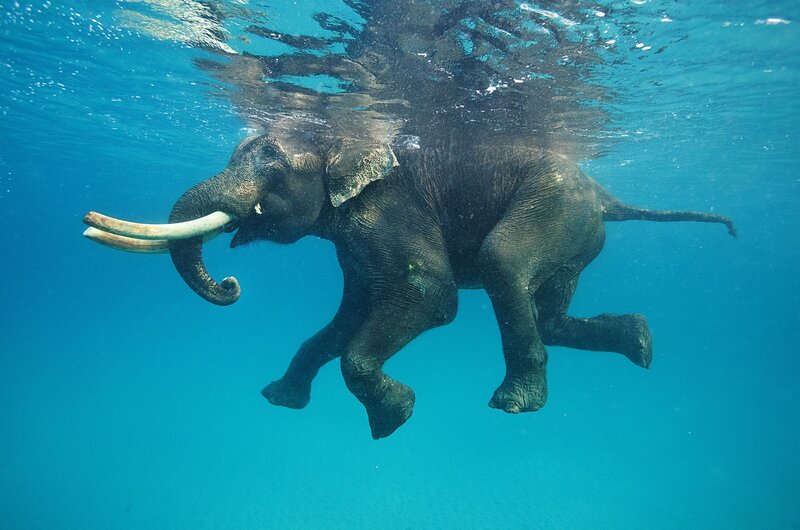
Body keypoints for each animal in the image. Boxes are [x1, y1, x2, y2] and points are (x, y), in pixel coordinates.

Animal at [84, 134, 736, 439]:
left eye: (271, 165)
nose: (229, 283)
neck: (343, 141)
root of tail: (606, 195)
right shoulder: (352, 242)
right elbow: (347, 318)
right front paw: (278, 399)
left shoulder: (390, 211)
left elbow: (430, 298)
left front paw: (393, 418)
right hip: (576, 232)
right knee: (547, 312)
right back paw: (642, 342)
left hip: (557, 209)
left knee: (504, 265)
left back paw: (515, 403)